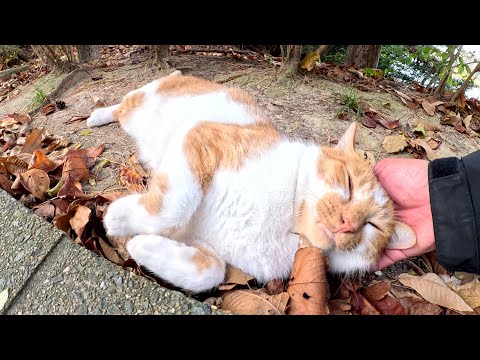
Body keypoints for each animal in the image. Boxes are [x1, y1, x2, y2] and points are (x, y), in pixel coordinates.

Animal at [86, 69, 416, 292]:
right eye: (348, 183)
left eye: (371, 226)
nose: (347, 223)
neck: (285, 221)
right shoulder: (200, 137)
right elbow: (171, 209)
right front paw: (118, 216)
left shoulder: (206, 246)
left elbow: (211, 272)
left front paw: (143, 246)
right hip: (140, 105)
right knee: (122, 104)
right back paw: (96, 116)